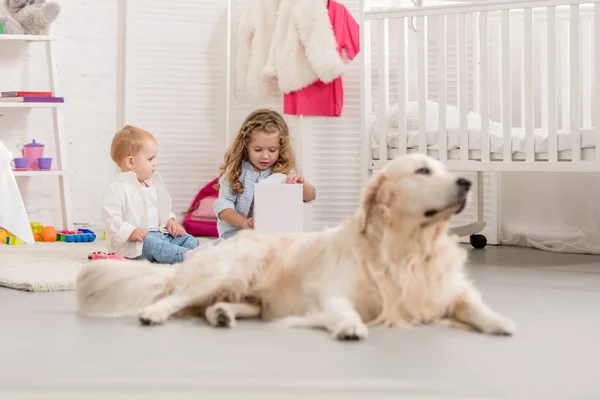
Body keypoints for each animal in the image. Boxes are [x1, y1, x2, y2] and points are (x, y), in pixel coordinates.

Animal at [76, 153, 516, 340]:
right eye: (423, 170)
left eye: (444, 168)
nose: (466, 182)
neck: (405, 246)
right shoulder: (332, 290)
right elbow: (341, 308)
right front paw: (350, 326)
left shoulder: (446, 289)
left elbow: (472, 304)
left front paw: (498, 321)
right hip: (227, 269)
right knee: (177, 297)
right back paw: (156, 312)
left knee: (220, 304)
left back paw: (221, 313)